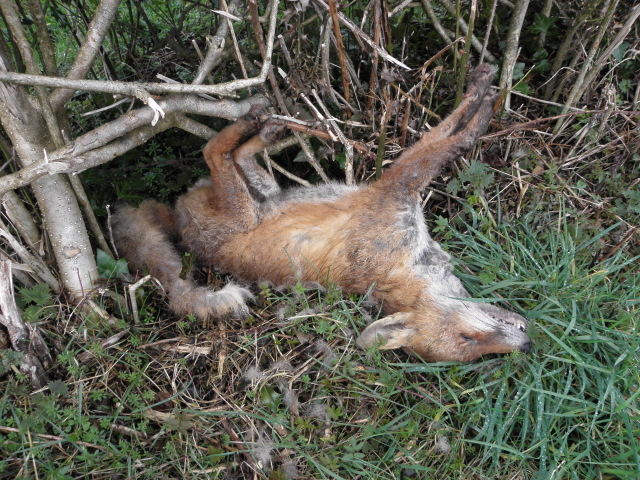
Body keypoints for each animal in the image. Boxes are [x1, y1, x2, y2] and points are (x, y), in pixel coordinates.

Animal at [114, 65, 528, 362]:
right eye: (467, 339)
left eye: (472, 352)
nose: (526, 346)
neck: (404, 268)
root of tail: (177, 219)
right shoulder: (398, 185)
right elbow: (452, 138)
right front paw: (481, 96)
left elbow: (449, 136)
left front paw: (483, 93)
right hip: (240, 211)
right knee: (213, 150)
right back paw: (251, 121)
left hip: (263, 192)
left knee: (236, 156)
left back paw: (264, 130)